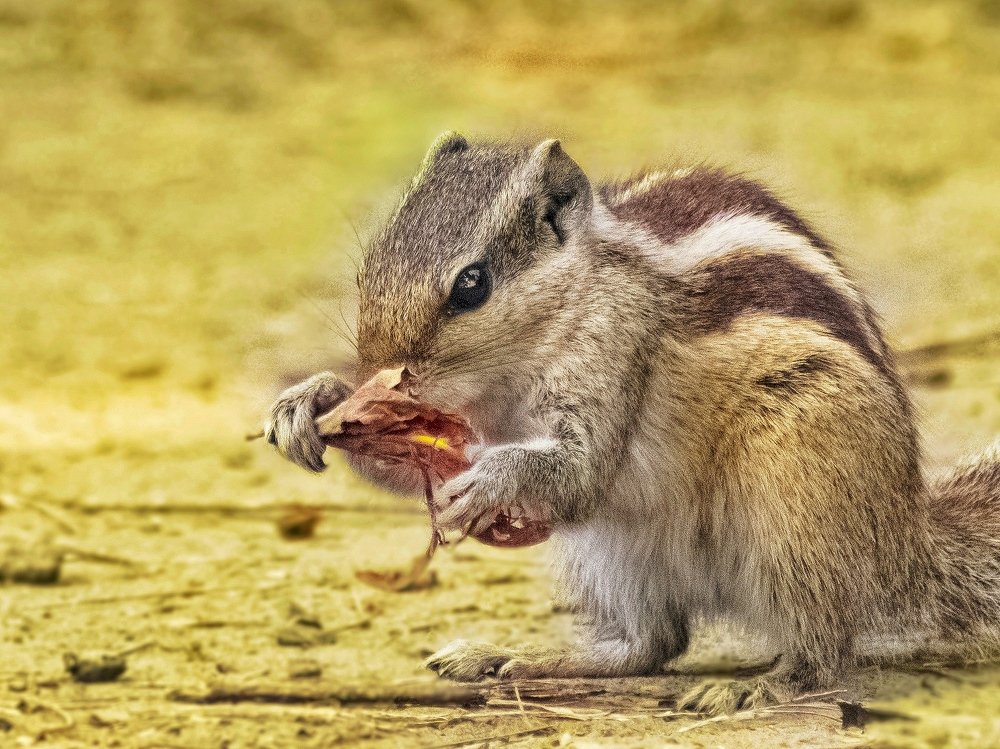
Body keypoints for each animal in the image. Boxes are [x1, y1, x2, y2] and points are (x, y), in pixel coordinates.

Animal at [265, 132, 1000, 712]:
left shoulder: (615, 353)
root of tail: (905, 544)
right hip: (614, 550)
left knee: (823, 649)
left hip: (793, 500)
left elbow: (580, 468)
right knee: (651, 644)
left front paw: (491, 479)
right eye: (371, 265)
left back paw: (754, 685)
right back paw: (513, 657)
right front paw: (312, 401)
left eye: (471, 284)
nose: (383, 368)